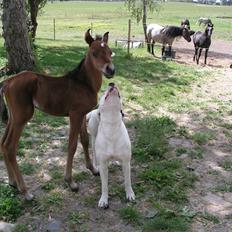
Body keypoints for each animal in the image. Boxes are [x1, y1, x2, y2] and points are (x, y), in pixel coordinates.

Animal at [0, 28, 115, 199]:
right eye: (94, 53)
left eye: (110, 52)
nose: (110, 70)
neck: (84, 84)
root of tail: (8, 81)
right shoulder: (74, 115)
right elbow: (72, 145)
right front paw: (70, 181)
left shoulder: (82, 114)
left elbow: (85, 140)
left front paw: (93, 169)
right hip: (22, 117)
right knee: (10, 147)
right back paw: (25, 191)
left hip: (13, 118)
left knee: (3, 143)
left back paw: (12, 182)